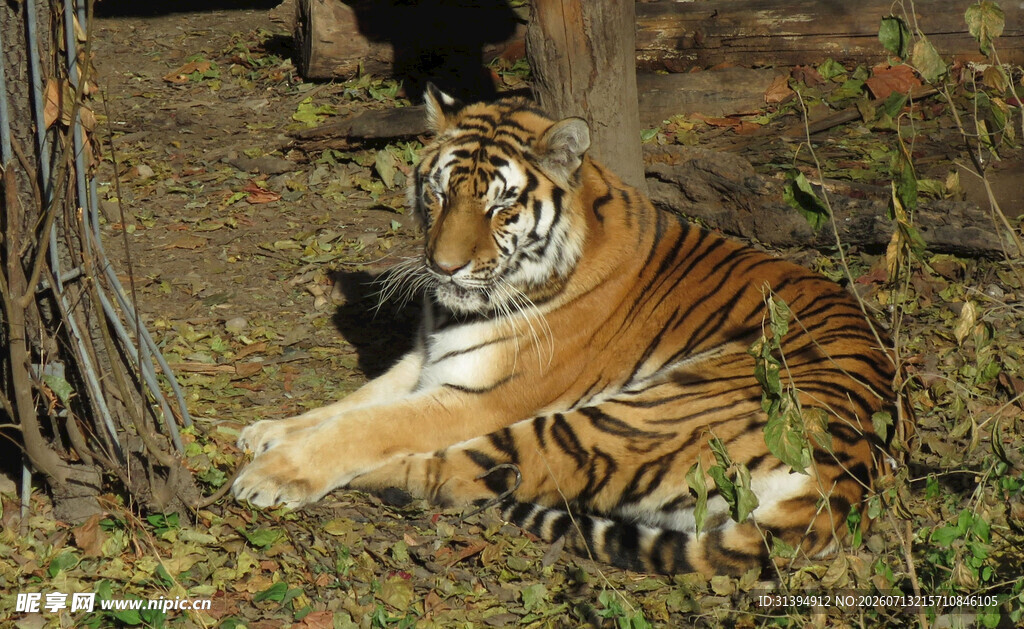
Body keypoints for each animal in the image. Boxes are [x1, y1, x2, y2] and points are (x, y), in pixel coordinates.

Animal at [232, 84, 900, 576]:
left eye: (500, 208)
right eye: (439, 193)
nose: (442, 268)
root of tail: (854, 471)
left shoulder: (479, 396)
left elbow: (370, 424)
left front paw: (273, 473)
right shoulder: (427, 358)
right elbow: (352, 402)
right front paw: (266, 432)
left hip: (623, 417)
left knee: (479, 472)